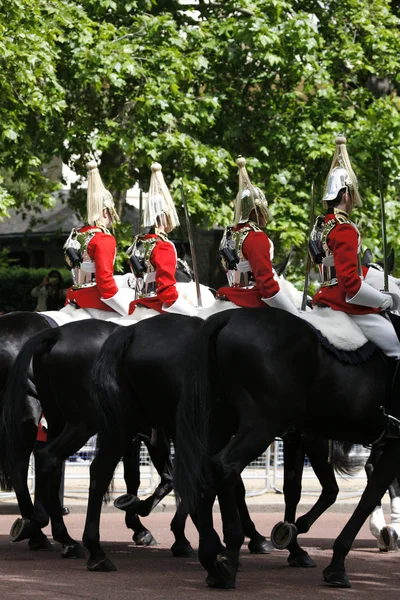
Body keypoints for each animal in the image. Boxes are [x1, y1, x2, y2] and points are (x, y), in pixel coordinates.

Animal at [174, 308, 400, 588]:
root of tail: (228, 316)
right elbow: (367, 495)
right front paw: (335, 563)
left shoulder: (300, 435)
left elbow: (302, 489)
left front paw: (292, 536)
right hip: (261, 423)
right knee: (225, 467)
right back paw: (229, 555)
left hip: (219, 422)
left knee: (203, 474)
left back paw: (211, 557)